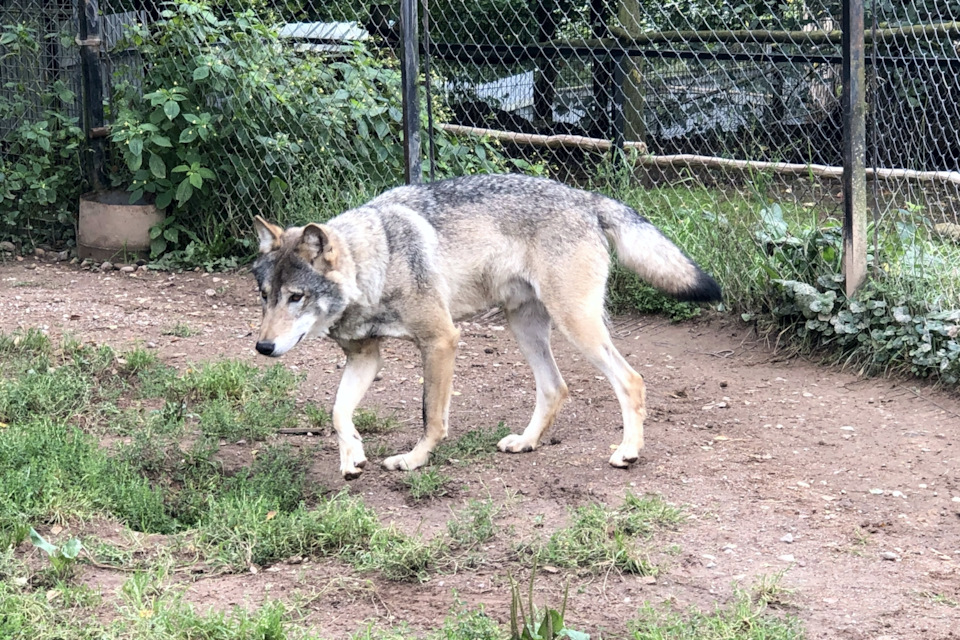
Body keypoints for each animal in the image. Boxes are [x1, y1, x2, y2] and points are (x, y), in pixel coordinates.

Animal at [251, 172, 716, 478]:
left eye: (296, 297)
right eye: (265, 295)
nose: (263, 348)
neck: (376, 263)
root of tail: (586, 197)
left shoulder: (441, 340)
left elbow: (431, 417)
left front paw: (414, 460)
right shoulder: (365, 357)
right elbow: (337, 411)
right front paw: (352, 456)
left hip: (576, 326)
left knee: (631, 379)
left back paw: (628, 451)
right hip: (525, 328)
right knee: (555, 388)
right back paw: (526, 442)